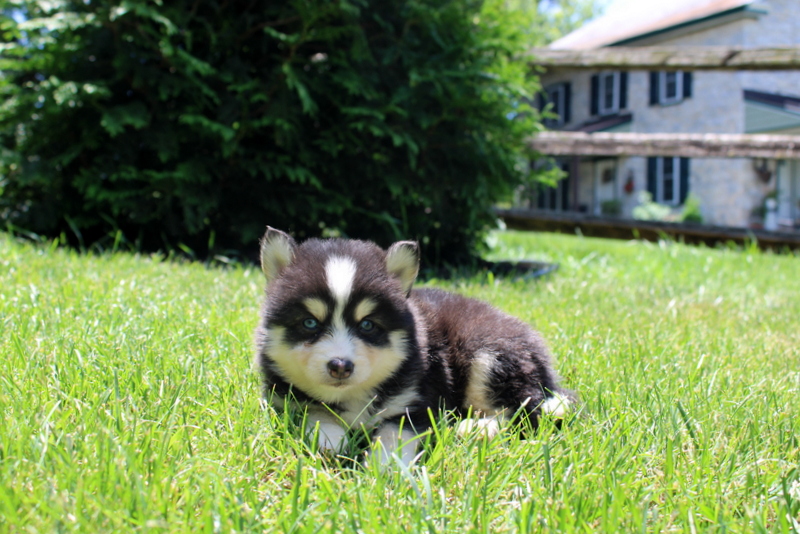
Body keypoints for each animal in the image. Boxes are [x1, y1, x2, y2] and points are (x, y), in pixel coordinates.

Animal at [253, 228, 572, 466]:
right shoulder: (285, 400)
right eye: (309, 323)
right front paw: (329, 438)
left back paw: (478, 428)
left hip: (488, 355)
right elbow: (315, 410)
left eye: (367, 325)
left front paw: (386, 465)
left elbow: (395, 433)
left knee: (521, 412)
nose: (340, 367)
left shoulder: (417, 401)